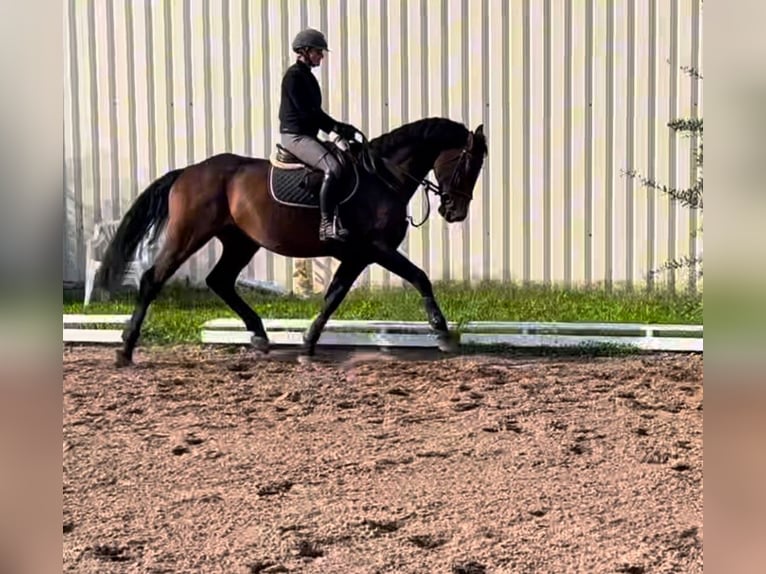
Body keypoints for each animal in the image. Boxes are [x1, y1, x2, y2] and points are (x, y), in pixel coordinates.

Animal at [96, 117, 488, 366]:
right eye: (468, 164)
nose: (455, 212)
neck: (383, 178)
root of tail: (188, 172)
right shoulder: (376, 249)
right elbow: (420, 277)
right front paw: (443, 334)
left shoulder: (358, 256)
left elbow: (333, 297)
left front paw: (308, 344)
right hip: (189, 234)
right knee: (153, 279)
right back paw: (125, 349)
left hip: (241, 241)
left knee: (220, 280)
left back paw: (259, 335)